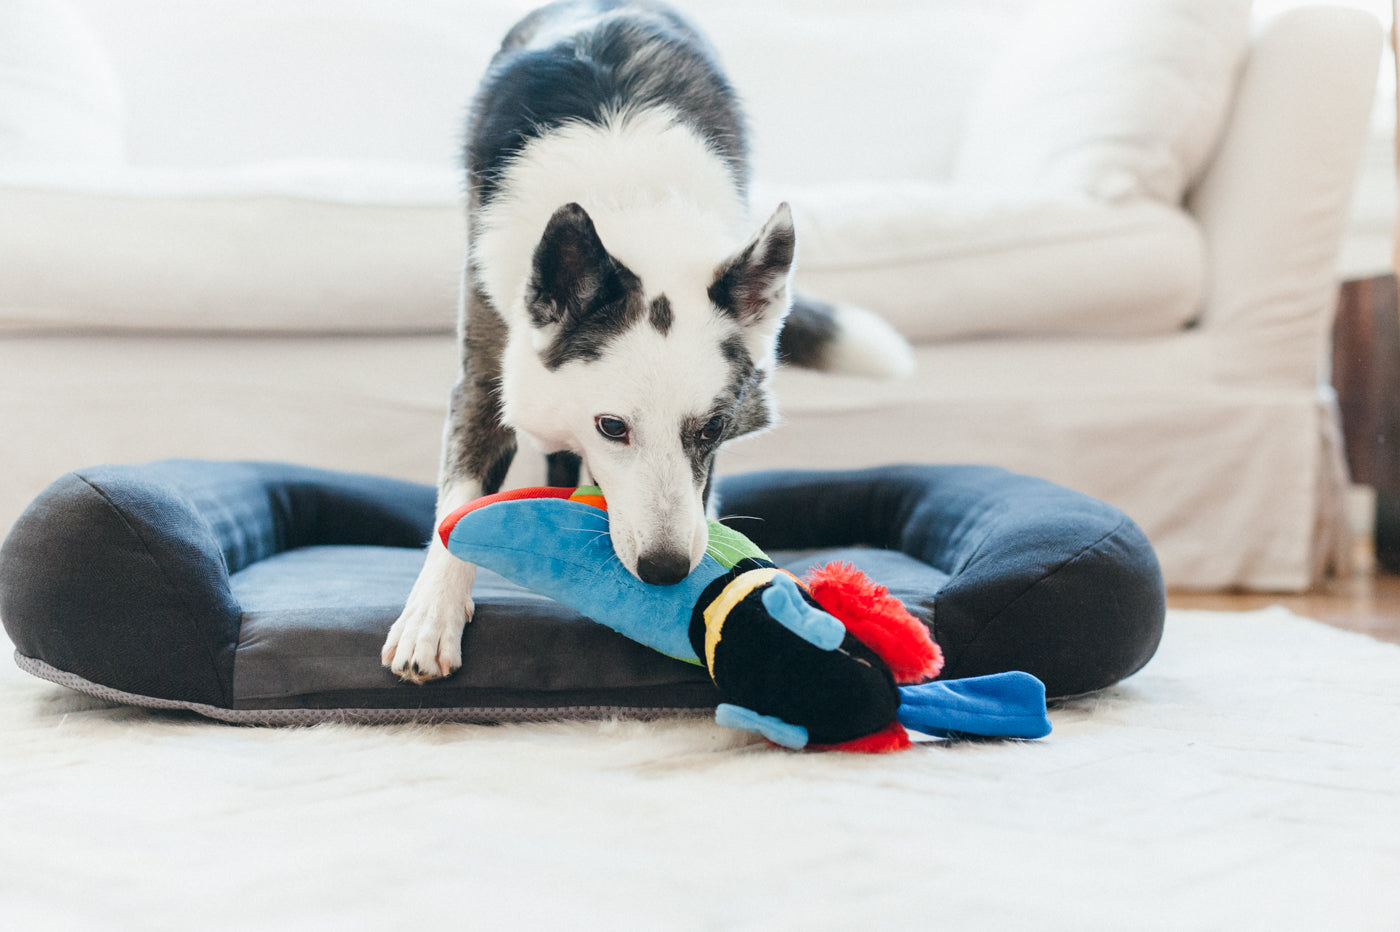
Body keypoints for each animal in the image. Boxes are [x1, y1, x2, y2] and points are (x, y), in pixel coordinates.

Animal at [383, 1, 907, 682]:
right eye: (612, 427)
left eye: (711, 429)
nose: (667, 572)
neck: (629, 207)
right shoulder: (483, 369)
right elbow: (459, 498)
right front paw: (430, 617)